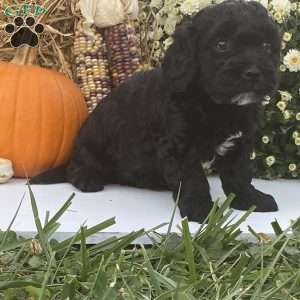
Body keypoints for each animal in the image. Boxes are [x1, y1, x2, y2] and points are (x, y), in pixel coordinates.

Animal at [31, 0, 282, 223]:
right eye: (222, 44)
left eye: (267, 47)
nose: (254, 72)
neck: (218, 106)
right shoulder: (179, 146)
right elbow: (193, 179)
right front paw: (200, 209)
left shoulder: (240, 142)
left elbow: (238, 175)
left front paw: (251, 200)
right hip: (94, 137)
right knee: (77, 164)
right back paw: (87, 177)